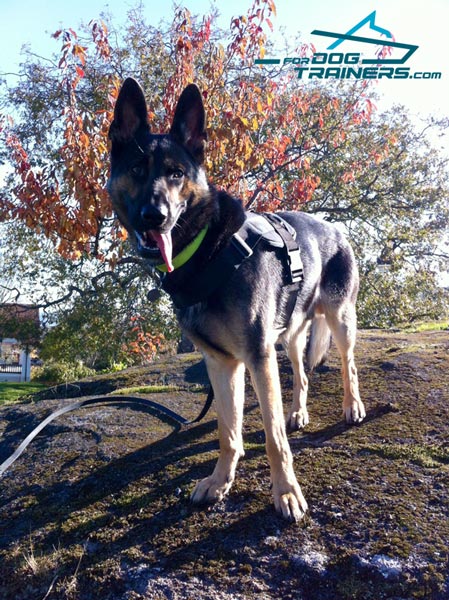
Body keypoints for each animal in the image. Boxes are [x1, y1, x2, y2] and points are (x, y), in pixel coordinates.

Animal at [107, 78, 364, 520]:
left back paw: (352, 407)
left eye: (176, 174)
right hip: (289, 333)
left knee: (348, 363)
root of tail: (335, 227)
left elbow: (274, 438)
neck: (208, 251)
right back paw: (298, 411)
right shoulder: (222, 363)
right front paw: (220, 481)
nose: (155, 216)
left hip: (338, 319)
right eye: (137, 169)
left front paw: (286, 493)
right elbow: (228, 432)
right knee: (300, 373)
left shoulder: (256, 357)